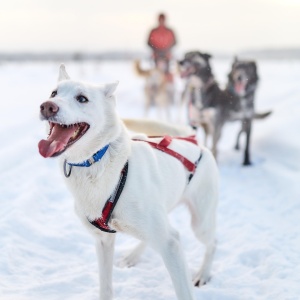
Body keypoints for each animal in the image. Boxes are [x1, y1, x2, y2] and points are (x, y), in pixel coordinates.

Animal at [38, 65, 218, 300]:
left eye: (82, 98)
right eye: (54, 93)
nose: (47, 106)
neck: (97, 161)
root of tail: (194, 141)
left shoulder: (170, 244)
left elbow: (183, 291)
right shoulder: (103, 241)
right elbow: (105, 287)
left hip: (200, 224)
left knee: (212, 243)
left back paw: (203, 274)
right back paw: (133, 256)